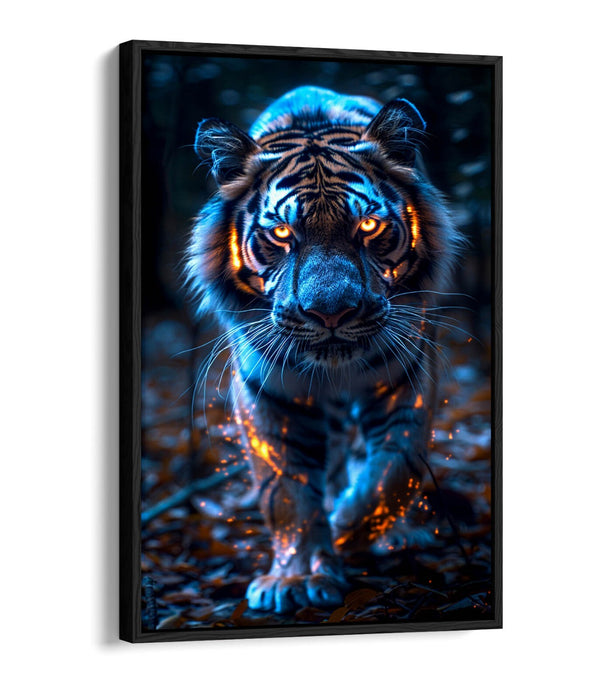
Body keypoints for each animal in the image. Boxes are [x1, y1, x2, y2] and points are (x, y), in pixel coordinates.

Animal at [186, 86, 462, 614]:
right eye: (281, 234)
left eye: (370, 227)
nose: (331, 313)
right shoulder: (269, 391)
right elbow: (286, 491)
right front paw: (297, 578)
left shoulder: (408, 372)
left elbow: (395, 468)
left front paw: (351, 526)